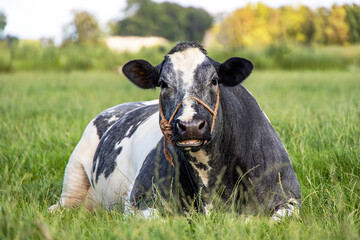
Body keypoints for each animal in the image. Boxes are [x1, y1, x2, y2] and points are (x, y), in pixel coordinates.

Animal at [50, 41, 302, 219]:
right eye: (163, 83)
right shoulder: (140, 202)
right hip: (75, 167)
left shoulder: (290, 199)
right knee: (66, 203)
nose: (190, 125)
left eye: (214, 80)